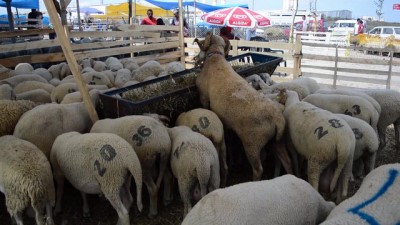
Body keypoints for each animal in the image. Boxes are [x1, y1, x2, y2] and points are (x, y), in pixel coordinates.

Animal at [193, 32, 290, 181]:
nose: (196, 59)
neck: (215, 58)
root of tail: (278, 119)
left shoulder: (203, 96)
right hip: (278, 141)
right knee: (287, 161)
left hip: (252, 143)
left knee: (258, 169)